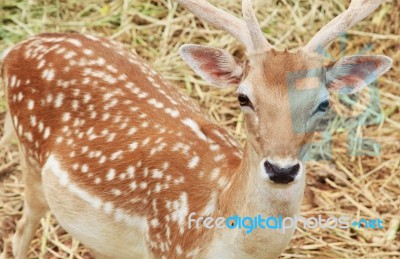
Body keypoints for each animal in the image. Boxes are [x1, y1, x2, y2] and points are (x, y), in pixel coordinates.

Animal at [0, 0, 392, 258]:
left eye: (324, 103)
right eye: (243, 97)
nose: (281, 169)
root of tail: (17, 49)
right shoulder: (166, 245)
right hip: (30, 155)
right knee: (18, 234)